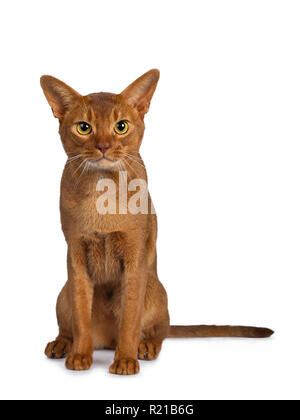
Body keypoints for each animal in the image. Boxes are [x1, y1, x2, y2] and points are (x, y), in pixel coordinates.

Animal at [40, 70, 274, 376]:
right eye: (83, 127)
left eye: (121, 126)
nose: (103, 146)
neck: (102, 192)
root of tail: (106, 341)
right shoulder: (76, 256)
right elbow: (81, 316)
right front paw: (80, 355)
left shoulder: (134, 258)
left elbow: (130, 319)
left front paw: (126, 361)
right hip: (64, 292)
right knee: (69, 325)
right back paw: (61, 344)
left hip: (154, 287)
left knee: (160, 329)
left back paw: (146, 348)